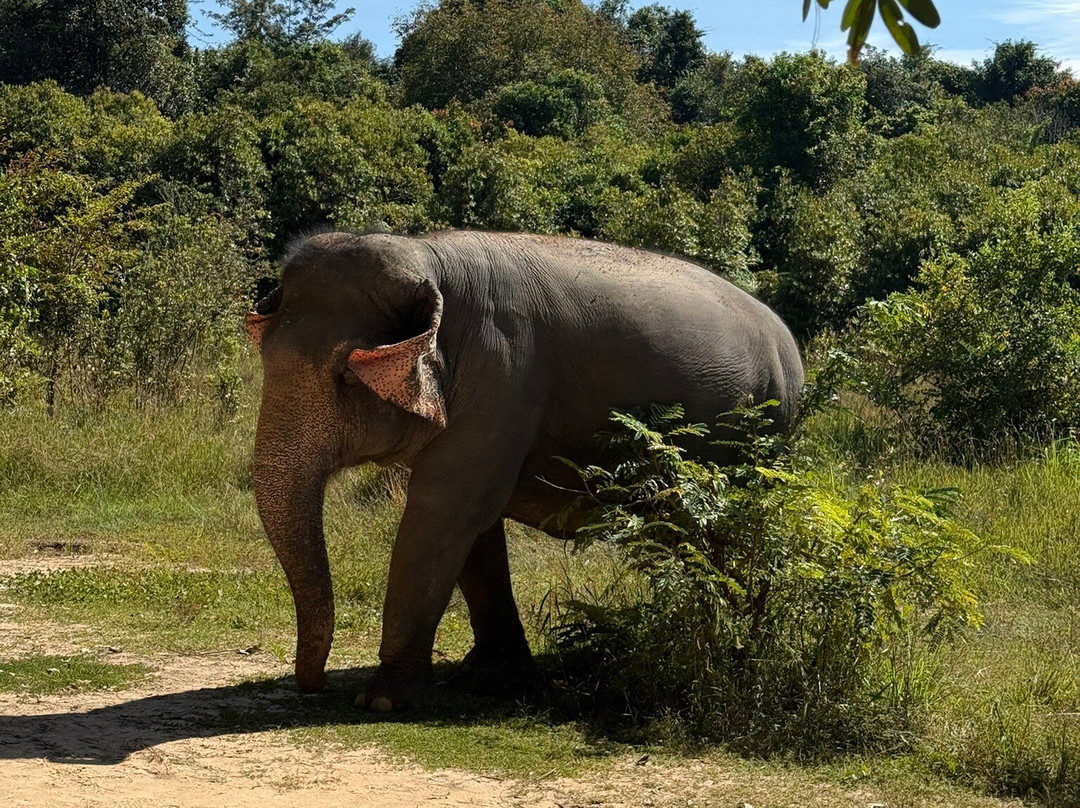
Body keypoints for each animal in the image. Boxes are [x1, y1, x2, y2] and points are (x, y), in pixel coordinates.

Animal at [244, 230, 804, 712]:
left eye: (345, 374)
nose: (312, 685)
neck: (428, 256)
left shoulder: (502, 371)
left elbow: (445, 510)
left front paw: (381, 701)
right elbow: (474, 528)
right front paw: (490, 674)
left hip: (759, 434)